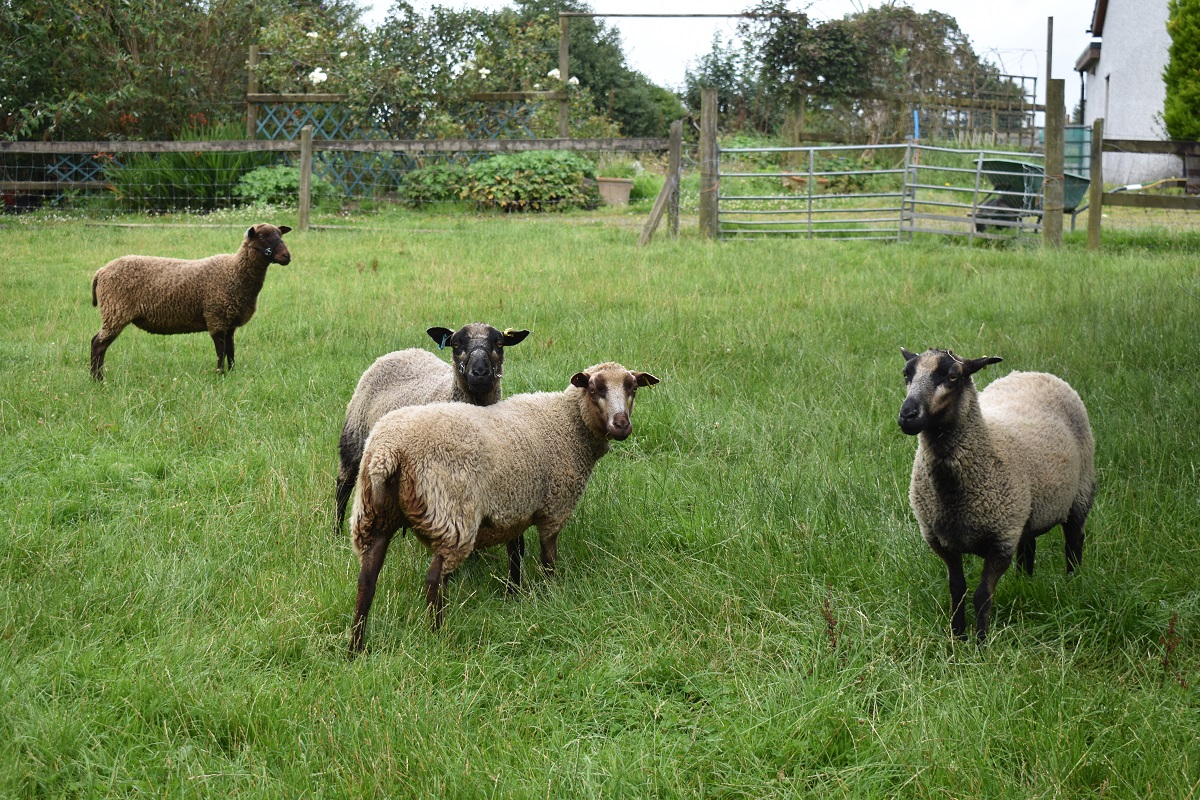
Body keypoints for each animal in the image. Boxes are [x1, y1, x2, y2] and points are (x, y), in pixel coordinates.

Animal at [89, 224, 292, 380]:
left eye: (280, 234)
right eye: (261, 236)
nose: (287, 256)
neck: (234, 272)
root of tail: (101, 271)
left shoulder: (229, 322)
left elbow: (231, 351)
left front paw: (232, 373)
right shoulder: (215, 317)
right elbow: (220, 351)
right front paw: (219, 375)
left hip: (113, 312)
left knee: (97, 343)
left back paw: (95, 377)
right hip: (115, 311)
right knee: (98, 344)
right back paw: (98, 379)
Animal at [333, 324, 531, 533]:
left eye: (500, 343)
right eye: (455, 343)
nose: (480, 373)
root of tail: (402, 351)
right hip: (354, 436)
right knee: (343, 484)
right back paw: (337, 531)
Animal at [348, 361, 659, 651]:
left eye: (633, 388)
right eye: (595, 389)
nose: (621, 425)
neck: (568, 423)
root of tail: (388, 453)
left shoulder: (514, 508)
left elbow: (516, 553)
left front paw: (514, 593)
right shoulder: (554, 508)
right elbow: (548, 557)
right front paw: (550, 593)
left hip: (372, 516)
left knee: (366, 581)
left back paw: (356, 648)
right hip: (452, 516)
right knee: (434, 580)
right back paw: (437, 635)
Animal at [897, 347, 1095, 642]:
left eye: (952, 376)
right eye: (906, 373)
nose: (907, 415)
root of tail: (1032, 372)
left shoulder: (1001, 541)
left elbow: (982, 596)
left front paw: (980, 643)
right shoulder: (941, 542)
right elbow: (957, 590)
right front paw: (958, 638)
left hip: (1080, 494)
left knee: (1073, 542)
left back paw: (1073, 583)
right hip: (1025, 511)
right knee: (1028, 548)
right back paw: (1024, 583)